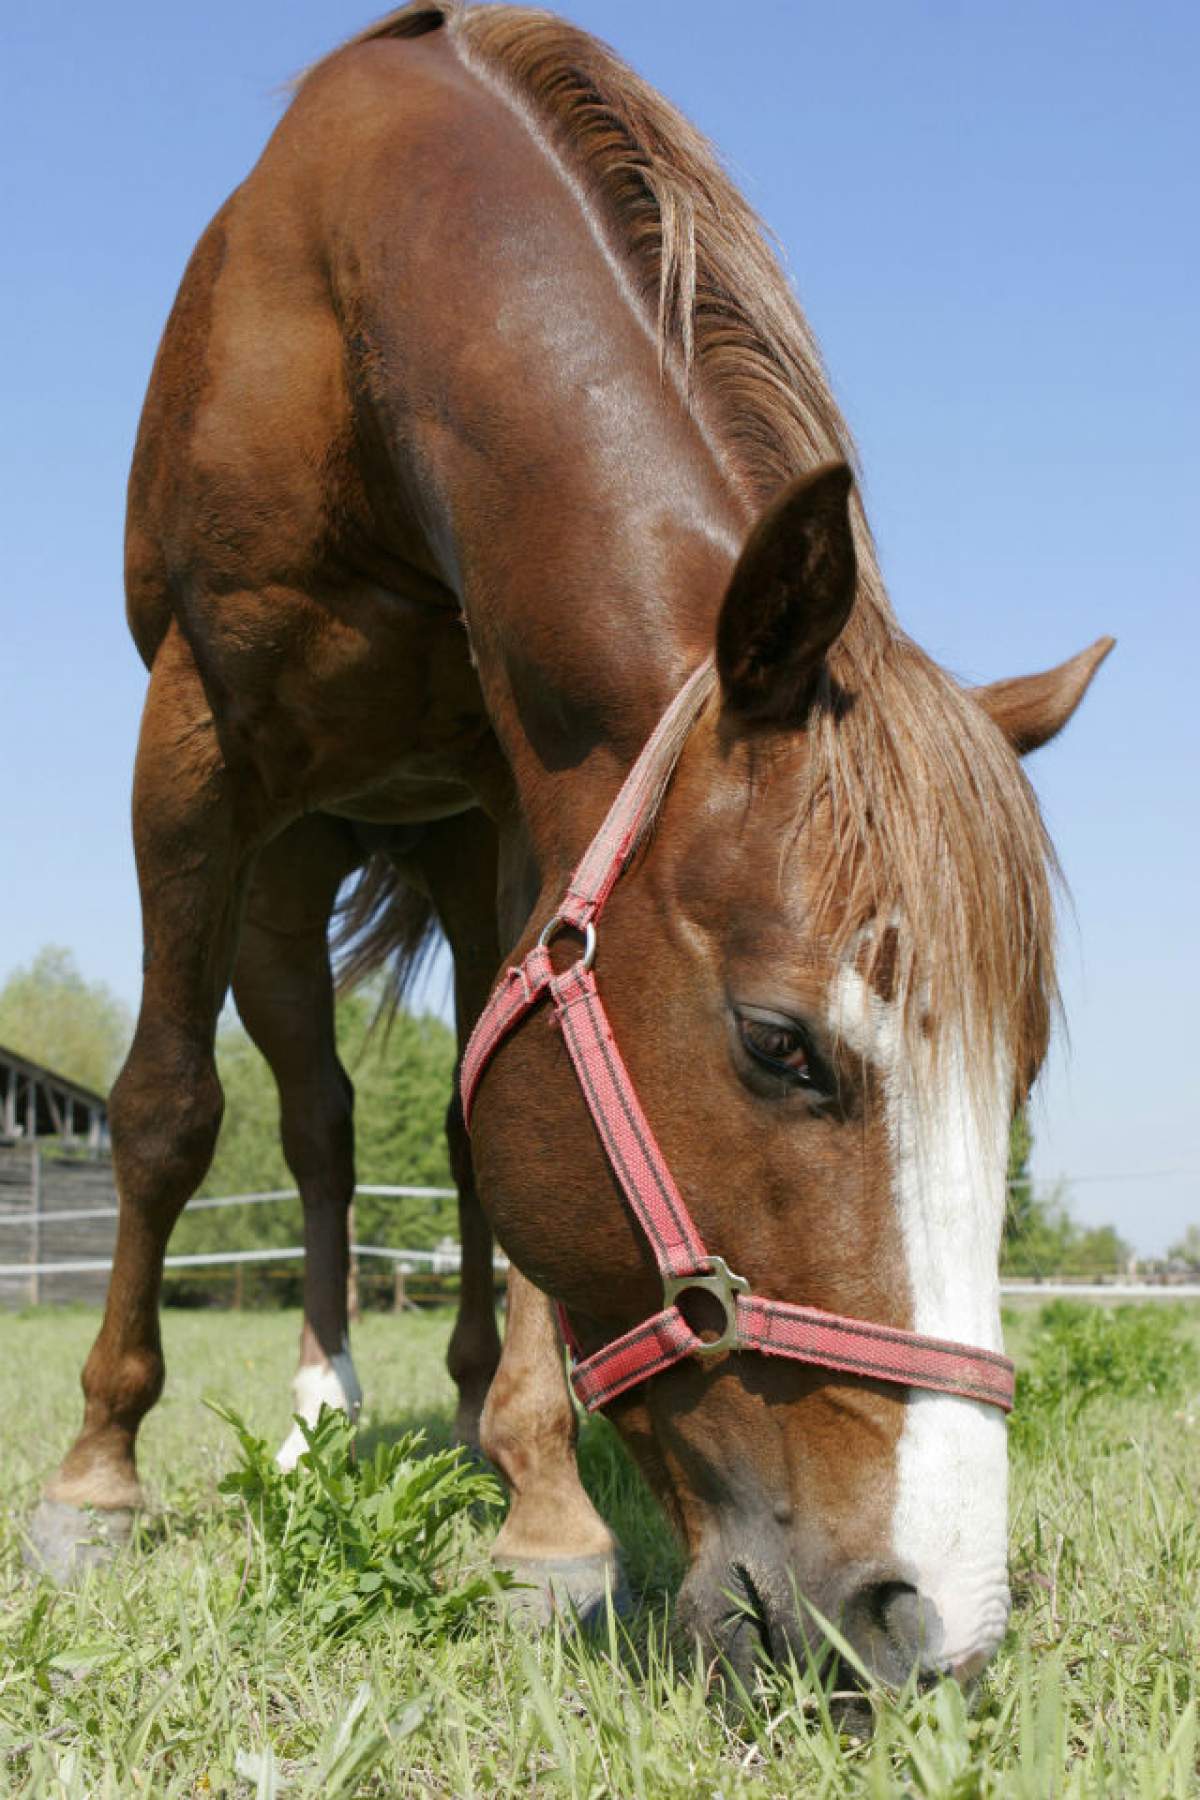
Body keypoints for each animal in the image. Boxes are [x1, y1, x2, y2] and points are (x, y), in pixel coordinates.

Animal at [30, 0, 1115, 1684]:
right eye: (782, 1045)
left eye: (1015, 1081)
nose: (931, 1621)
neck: (354, 316)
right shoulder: (192, 746)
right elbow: (162, 1111)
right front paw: (97, 1483)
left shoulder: (526, 785)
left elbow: (494, 1121)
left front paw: (545, 1518)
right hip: (284, 875)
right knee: (316, 1122)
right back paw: (321, 1415)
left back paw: (485, 1418)